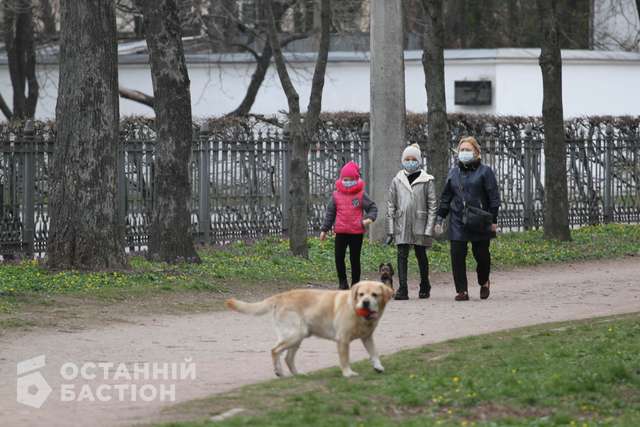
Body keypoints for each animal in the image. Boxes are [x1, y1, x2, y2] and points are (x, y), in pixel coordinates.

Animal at [225, 282, 396, 380]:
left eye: (374, 295)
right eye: (361, 294)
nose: (365, 302)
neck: (356, 310)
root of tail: (280, 295)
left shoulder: (367, 337)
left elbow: (374, 353)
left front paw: (378, 367)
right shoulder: (342, 339)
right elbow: (345, 359)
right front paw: (348, 373)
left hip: (297, 337)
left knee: (287, 357)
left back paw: (297, 374)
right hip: (295, 334)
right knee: (275, 350)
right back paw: (279, 372)